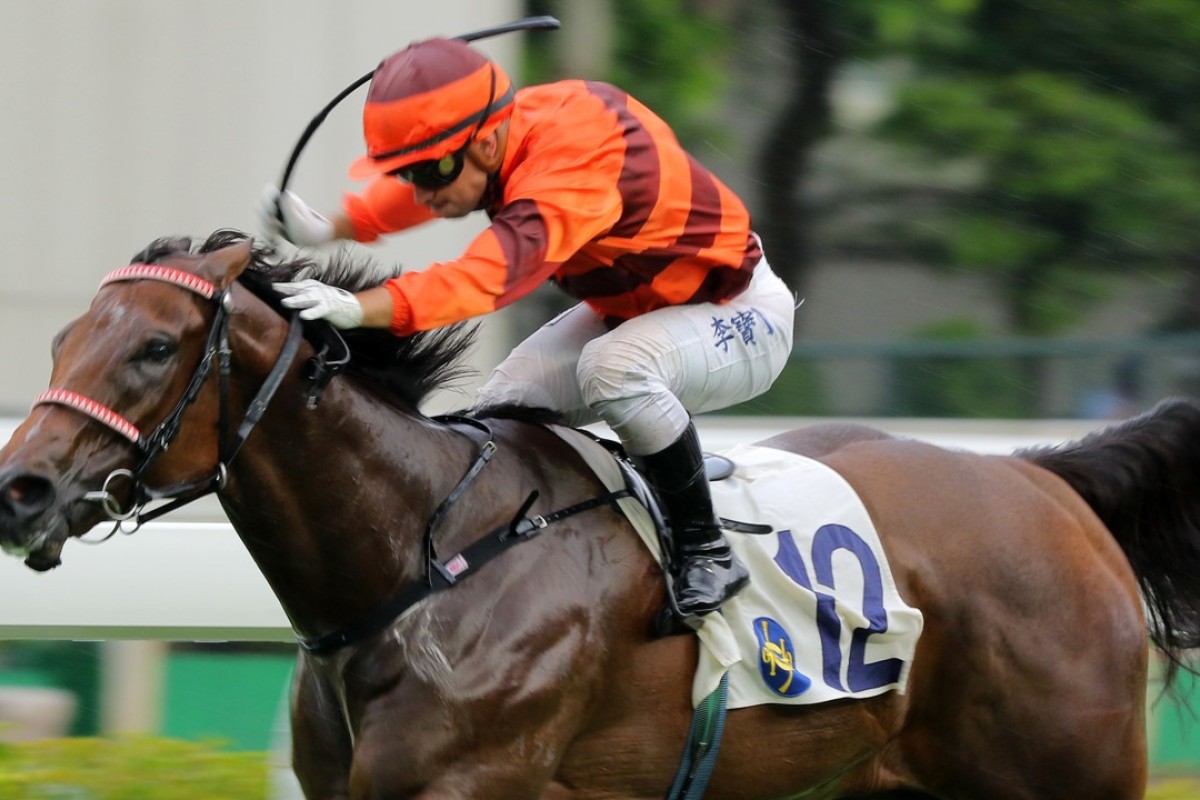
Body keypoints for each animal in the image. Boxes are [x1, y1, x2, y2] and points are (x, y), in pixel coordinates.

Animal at [2, 227, 1200, 796]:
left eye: (156, 346)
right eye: (64, 339)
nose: (21, 490)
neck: (422, 557)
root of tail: (1045, 480)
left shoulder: (473, 782)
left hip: (1071, 769)